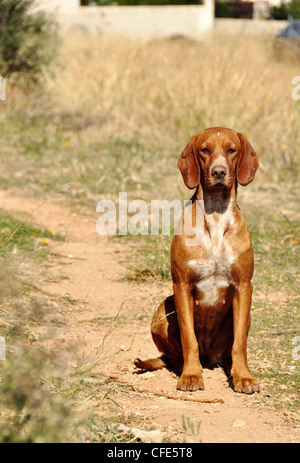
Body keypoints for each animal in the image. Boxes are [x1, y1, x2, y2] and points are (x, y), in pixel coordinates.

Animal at [135, 127, 262, 396]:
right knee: (172, 356)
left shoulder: (244, 287)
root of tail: (208, 356)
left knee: (229, 350)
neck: (216, 216)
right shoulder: (181, 286)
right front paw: (191, 375)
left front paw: (243, 377)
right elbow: (188, 338)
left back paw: (231, 369)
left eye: (231, 150)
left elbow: (240, 344)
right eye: (205, 150)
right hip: (163, 308)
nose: (219, 172)